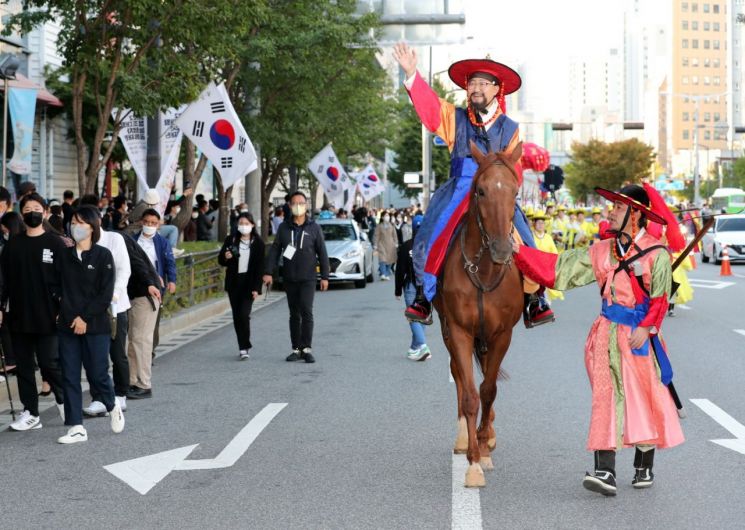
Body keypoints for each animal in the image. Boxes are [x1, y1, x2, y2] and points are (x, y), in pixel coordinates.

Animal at [430, 140, 524, 486]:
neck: (484, 270)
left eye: (515, 191)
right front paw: (472, 461)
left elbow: (489, 390)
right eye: (481, 191)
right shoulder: (459, 329)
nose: (502, 249)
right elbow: (470, 393)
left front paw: (483, 449)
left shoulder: (502, 334)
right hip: (448, 328)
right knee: (459, 375)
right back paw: (463, 439)